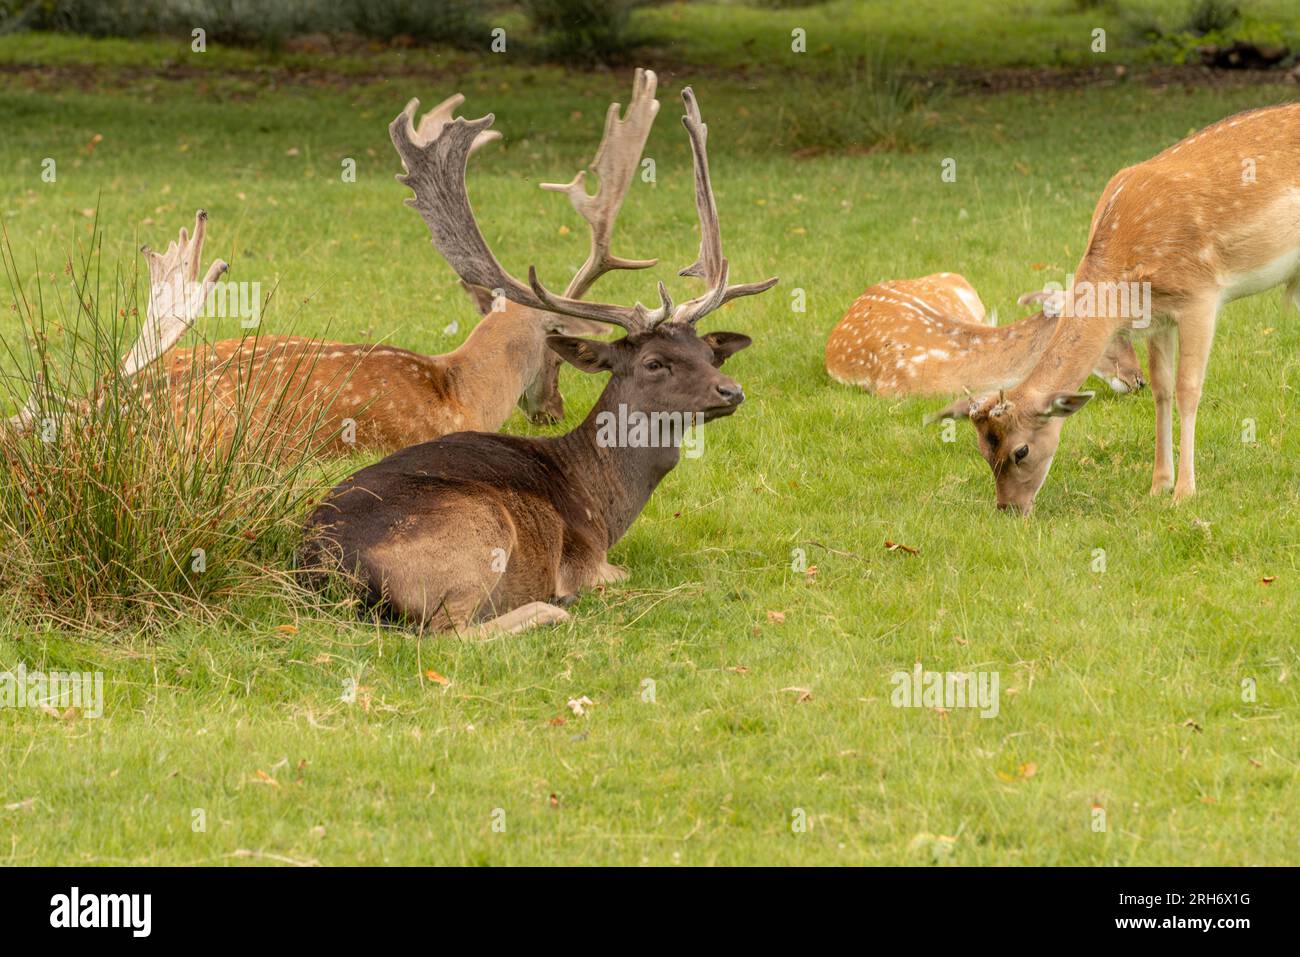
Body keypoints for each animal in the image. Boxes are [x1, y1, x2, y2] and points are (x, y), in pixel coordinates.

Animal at [299, 80, 774, 634]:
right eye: (654, 362)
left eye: (709, 353)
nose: (732, 391)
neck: (602, 504)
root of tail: (325, 567)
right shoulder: (590, 560)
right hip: (476, 533)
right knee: (448, 631)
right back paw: (547, 609)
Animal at [935, 100, 1300, 512]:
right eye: (982, 450)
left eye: (1021, 451)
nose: (1009, 508)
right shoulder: (1159, 316)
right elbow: (1161, 389)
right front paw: (1158, 485)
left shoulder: (1201, 295)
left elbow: (1188, 389)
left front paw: (1184, 492)